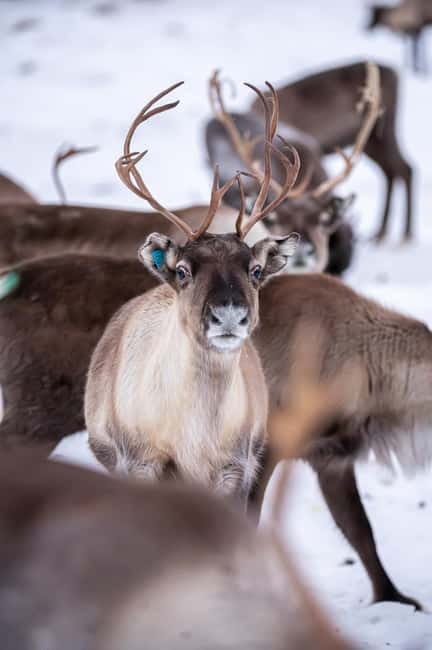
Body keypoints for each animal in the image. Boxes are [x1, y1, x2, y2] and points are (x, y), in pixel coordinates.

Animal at [84, 80, 300, 505]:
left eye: (254, 270)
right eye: (183, 270)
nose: (229, 315)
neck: (196, 436)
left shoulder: (235, 468)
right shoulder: (142, 461)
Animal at [250, 61, 413, 242]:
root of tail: (396, 73)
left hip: (383, 132)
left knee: (404, 168)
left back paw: (405, 234)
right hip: (372, 141)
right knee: (392, 170)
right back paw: (381, 232)